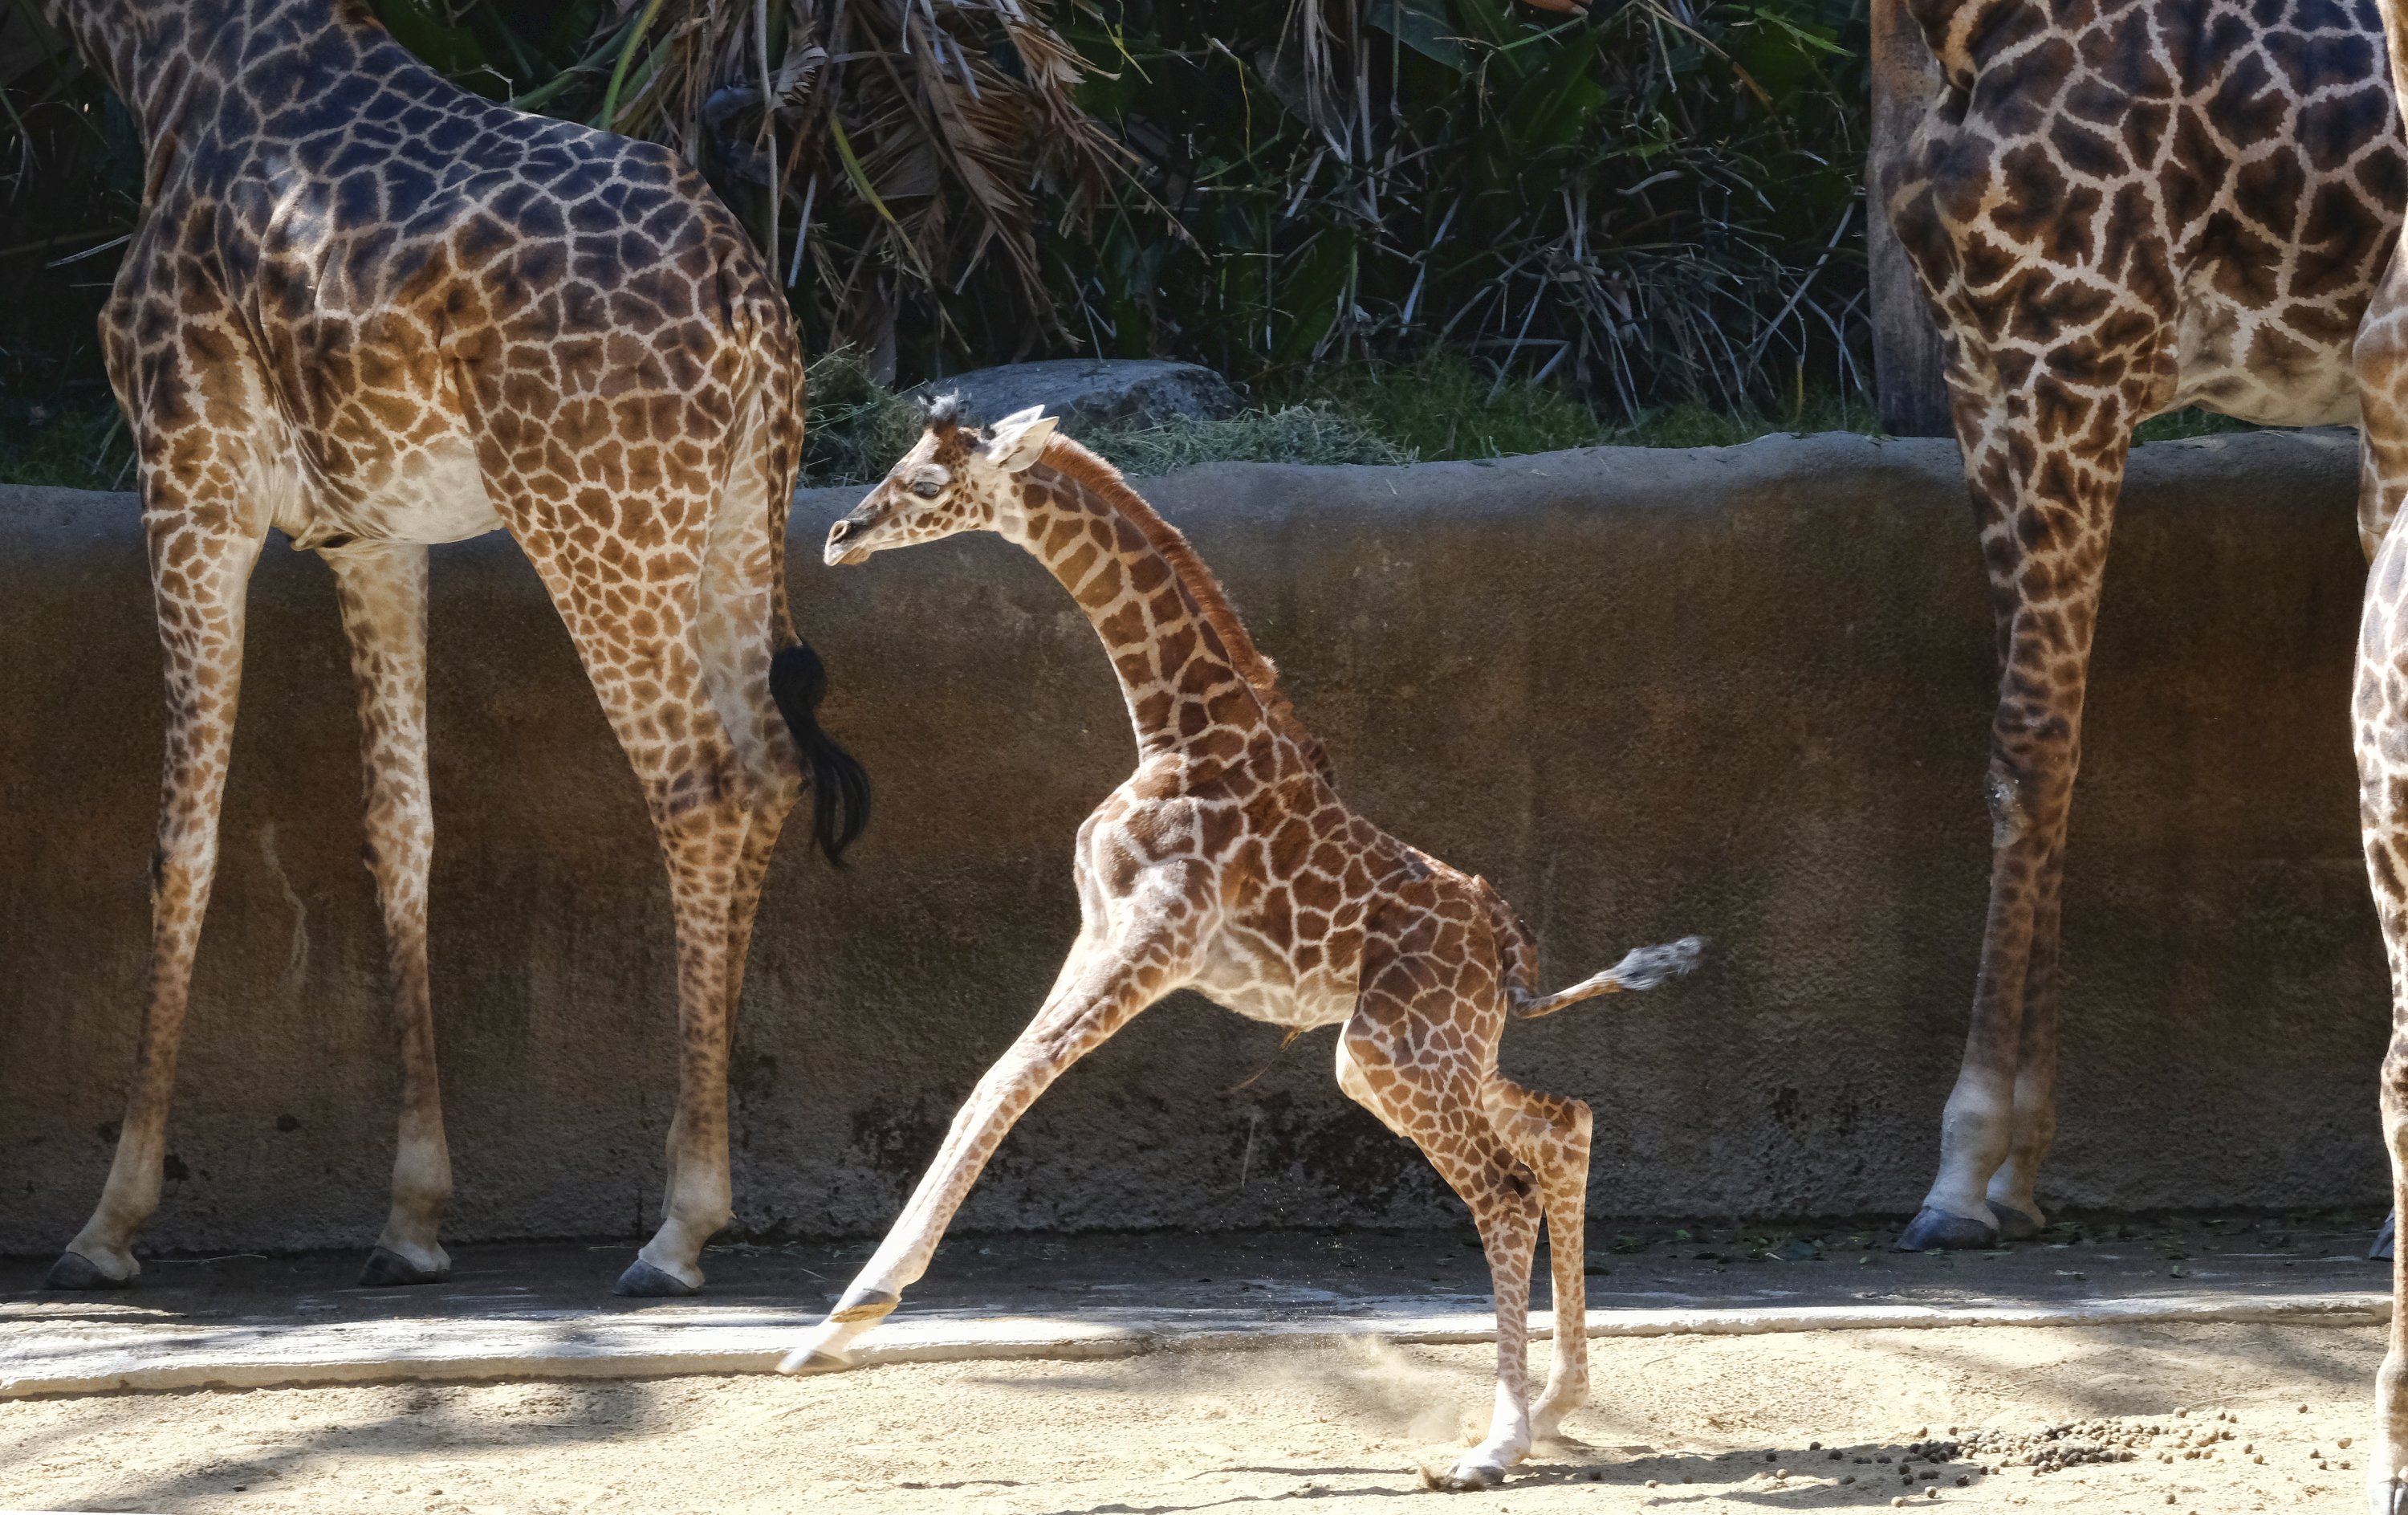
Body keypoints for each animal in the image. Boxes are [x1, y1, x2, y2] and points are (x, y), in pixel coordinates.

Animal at [31, 0, 867, 1301]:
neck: (168, 60)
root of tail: (748, 297)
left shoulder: (190, 482)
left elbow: (181, 844)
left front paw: (108, 1222)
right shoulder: (371, 533)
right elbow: (401, 825)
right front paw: (413, 1216)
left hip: (596, 522)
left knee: (703, 787)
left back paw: (679, 1226)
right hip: (734, 518)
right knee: (771, 766)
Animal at [790, 400, 1695, 1493]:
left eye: (927, 483)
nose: (840, 535)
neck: (1177, 732)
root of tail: (1506, 948)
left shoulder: (1158, 940)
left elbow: (1010, 1081)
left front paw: (853, 1312)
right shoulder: (1101, 928)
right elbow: (990, 1081)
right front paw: (832, 1326)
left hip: (1391, 1052)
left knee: (1508, 1191)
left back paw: (1494, 1445)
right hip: (1418, 1055)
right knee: (1566, 1127)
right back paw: (1558, 1403)